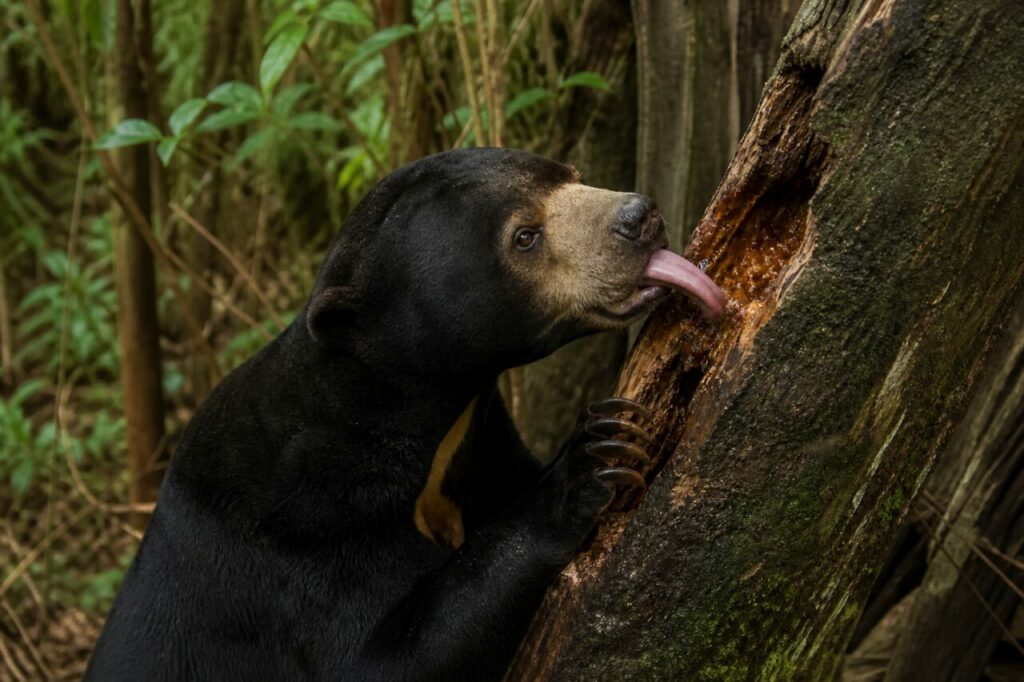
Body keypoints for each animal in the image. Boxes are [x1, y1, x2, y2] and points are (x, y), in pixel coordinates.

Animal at [85, 148, 724, 681]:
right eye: (524, 237)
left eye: (570, 173)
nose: (641, 216)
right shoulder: (306, 530)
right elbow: (386, 659)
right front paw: (594, 457)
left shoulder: (482, 445)